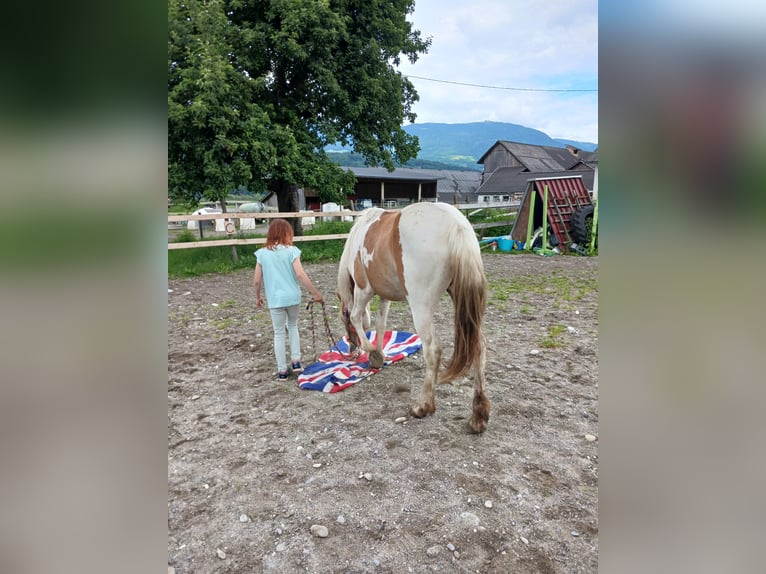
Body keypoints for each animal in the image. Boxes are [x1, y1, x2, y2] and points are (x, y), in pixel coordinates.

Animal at [338, 202, 492, 432]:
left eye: (342, 320)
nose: (351, 350)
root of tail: (456, 225)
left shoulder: (363, 290)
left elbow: (358, 317)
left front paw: (372, 352)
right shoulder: (384, 295)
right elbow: (381, 323)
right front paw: (379, 354)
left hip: (420, 306)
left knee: (433, 350)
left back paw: (423, 406)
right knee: (479, 348)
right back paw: (478, 415)